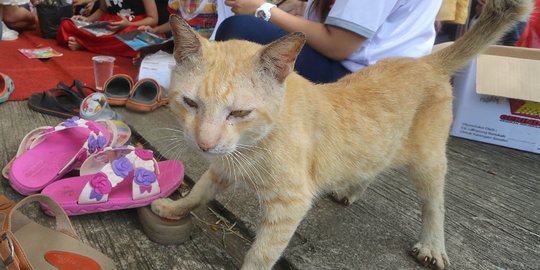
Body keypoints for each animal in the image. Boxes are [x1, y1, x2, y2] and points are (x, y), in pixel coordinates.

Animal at [151, 1, 532, 268]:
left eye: (239, 113)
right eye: (190, 103)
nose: (204, 143)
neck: (255, 143)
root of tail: (426, 61)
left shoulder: (290, 202)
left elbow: (260, 255)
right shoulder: (222, 166)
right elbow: (200, 191)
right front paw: (174, 206)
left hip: (429, 161)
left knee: (434, 204)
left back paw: (432, 245)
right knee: (372, 165)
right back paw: (351, 190)